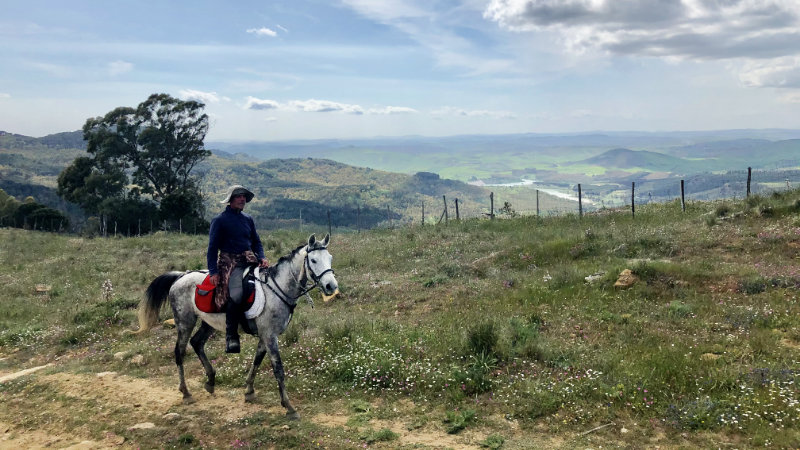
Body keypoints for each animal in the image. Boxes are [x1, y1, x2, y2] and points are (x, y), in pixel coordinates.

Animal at [138, 234, 338, 420]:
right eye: (313, 260)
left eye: (330, 258)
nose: (331, 286)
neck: (277, 289)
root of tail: (181, 276)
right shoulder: (270, 336)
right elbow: (278, 369)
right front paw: (289, 406)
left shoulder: (265, 335)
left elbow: (257, 361)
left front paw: (249, 391)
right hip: (185, 322)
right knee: (179, 351)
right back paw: (186, 392)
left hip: (208, 323)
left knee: (197, 343)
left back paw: (210, 380)